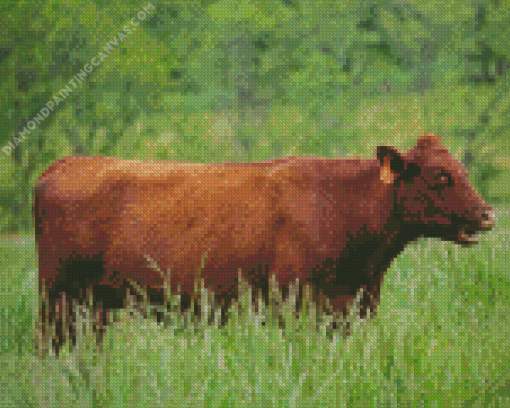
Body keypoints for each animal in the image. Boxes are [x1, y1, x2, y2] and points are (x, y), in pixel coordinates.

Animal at [32, 133, 494, 354]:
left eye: (462, 169)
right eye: (439, 176)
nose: (488, 213)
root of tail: (65, 163)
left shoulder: (350, 309)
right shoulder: (297, 305)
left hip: (92, 308)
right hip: (58, 299)